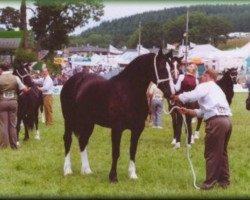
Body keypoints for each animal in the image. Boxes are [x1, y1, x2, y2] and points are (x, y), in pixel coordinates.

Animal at [60, 48, 175, 183]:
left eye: (172, 67)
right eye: (161, 67)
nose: (171, 93)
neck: (128, 92)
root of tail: (73, 79)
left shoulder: (137, 128)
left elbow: (133, 151)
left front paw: (132, 175)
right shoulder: (117, 128)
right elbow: (116, 152)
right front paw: (113, 177)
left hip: (88, 122)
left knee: (83, 141)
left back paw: (87, 170)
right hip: (69, 119)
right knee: (68, 140)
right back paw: (67, 170)